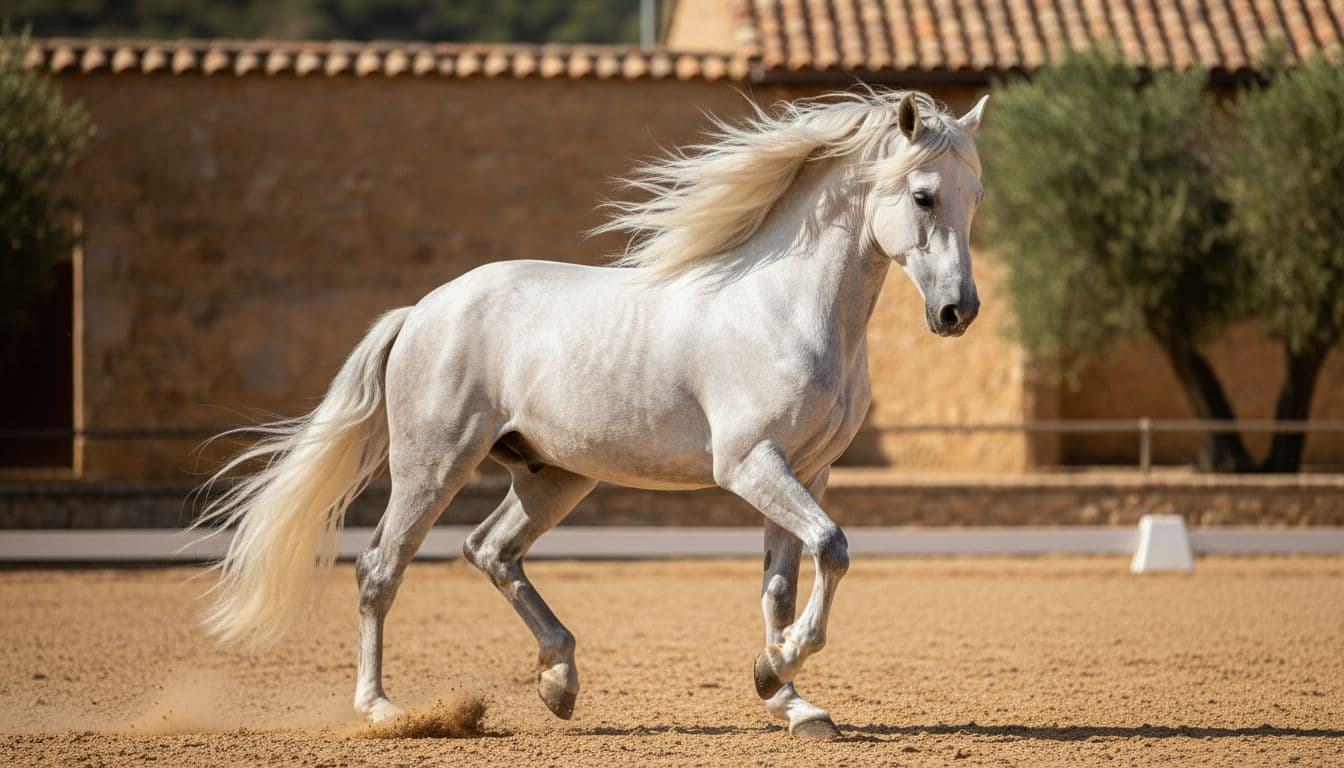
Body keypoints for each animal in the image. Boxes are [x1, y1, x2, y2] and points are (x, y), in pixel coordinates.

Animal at [195, 88, 988, 740]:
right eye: (923, 197)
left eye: (974, 197)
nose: (958, 312)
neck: (782, 307)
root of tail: (422, 310)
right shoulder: (750, 464)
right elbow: (832, 548)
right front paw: (778, 673)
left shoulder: (808, 472)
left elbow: (784, 585)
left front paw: (790, 700)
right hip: (433, 464)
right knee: (380, 569)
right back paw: (383, 710)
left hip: (553, 476)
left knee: (490, 550)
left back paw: (560, 682)